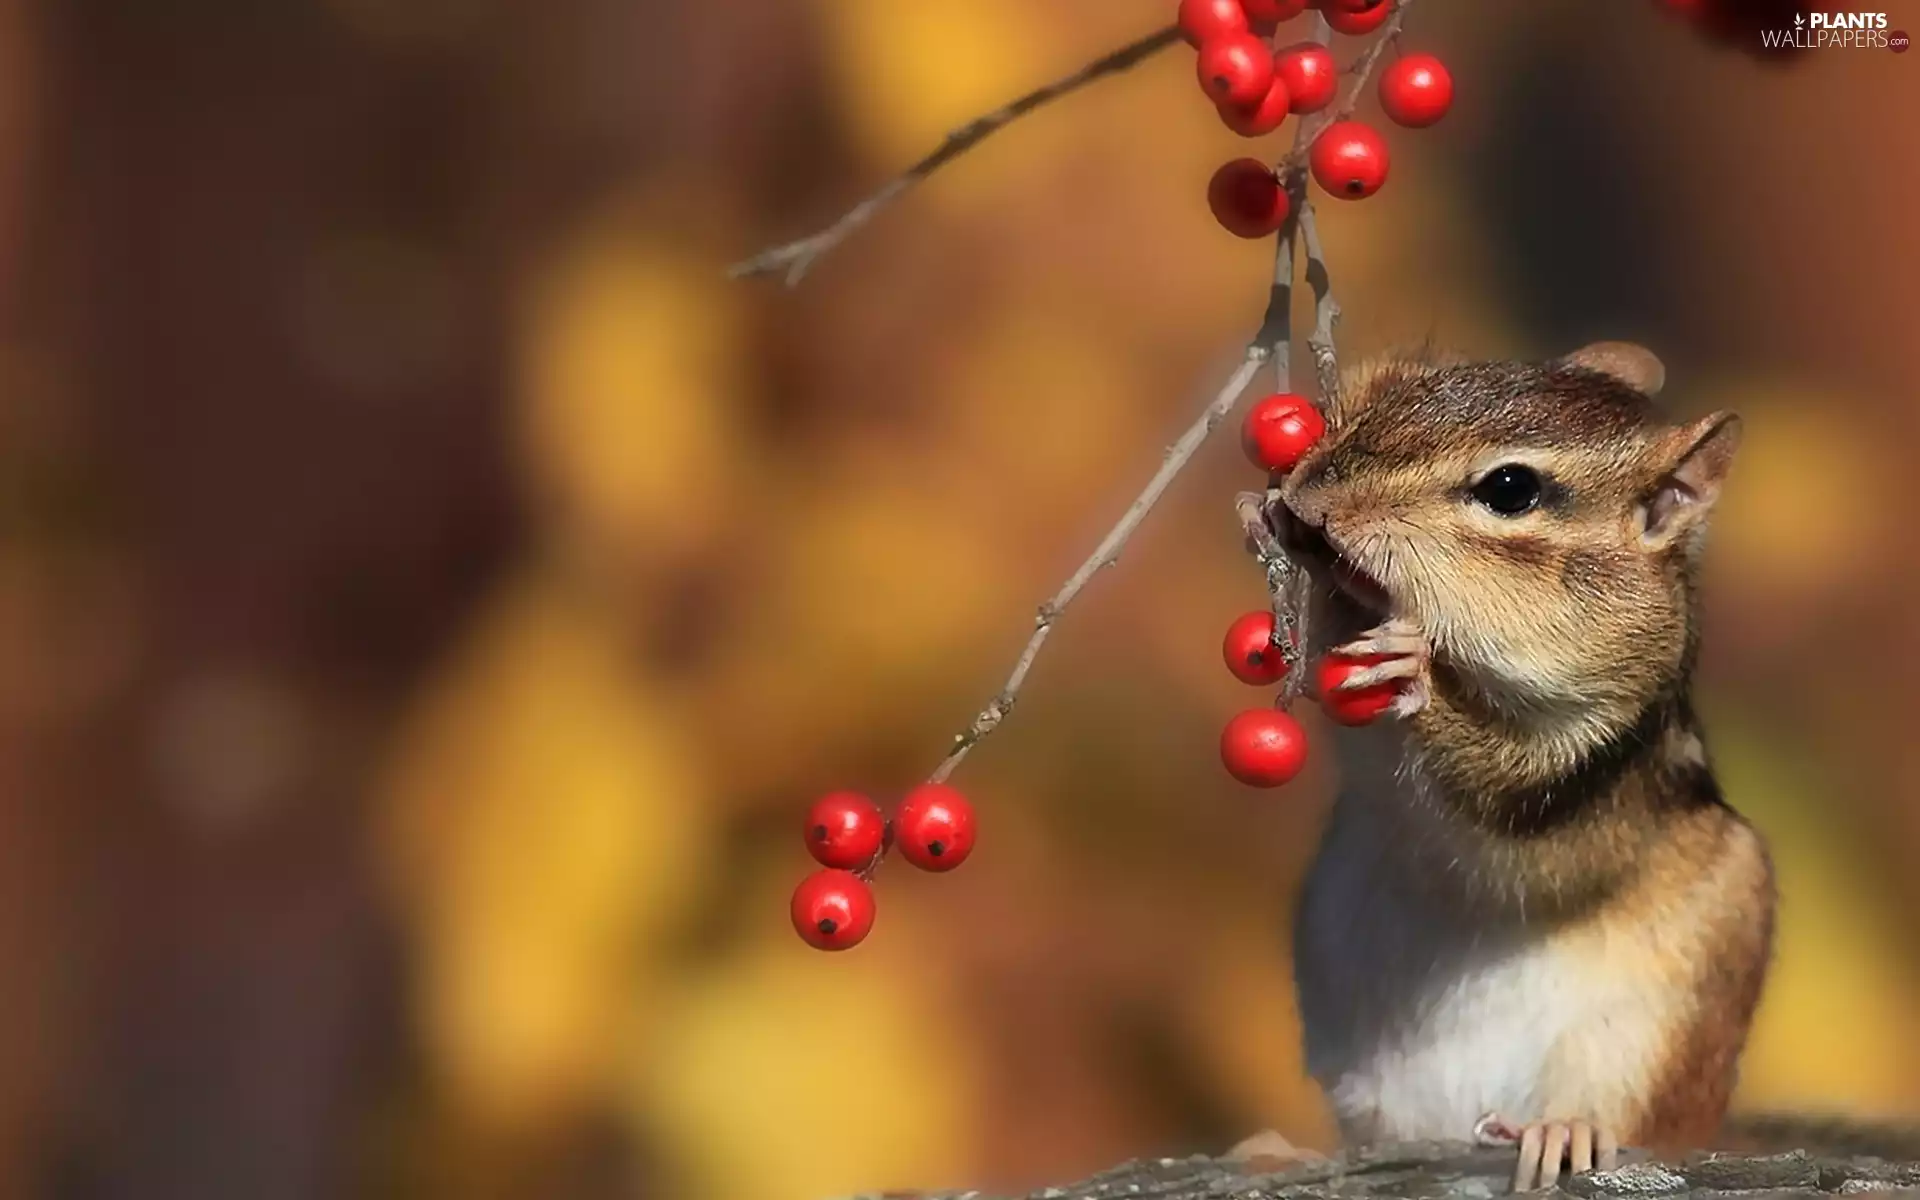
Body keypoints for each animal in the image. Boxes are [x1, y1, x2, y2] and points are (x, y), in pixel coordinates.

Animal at [1244, 341, 1805, 1190]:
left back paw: (1563, 1130)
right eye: (1410, 388)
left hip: (1659, 1034)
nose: (1312, 496)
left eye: (1511, 489)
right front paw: (1266, 517)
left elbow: (1500, 790)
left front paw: (1418, 672)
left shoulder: (1581, 761)